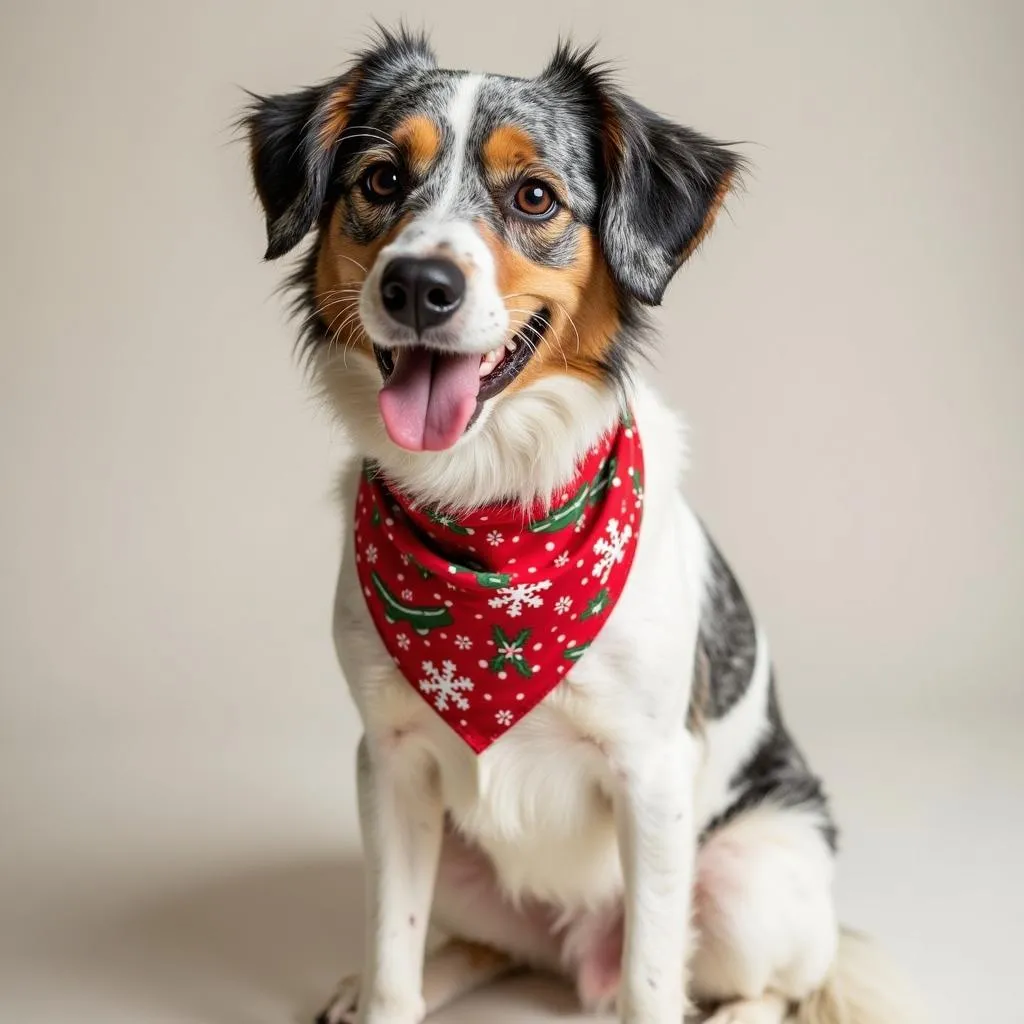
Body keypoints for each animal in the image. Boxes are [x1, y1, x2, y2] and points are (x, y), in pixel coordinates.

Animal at [243, 25, 917, 1024]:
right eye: (380, 180)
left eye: (535, 196)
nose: (417, 285)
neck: (492, 511)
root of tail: (574, 954)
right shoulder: (390, 762)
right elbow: (394, 947)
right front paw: (380, 993)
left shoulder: (652, 775)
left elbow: (652, 982)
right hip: (456, 857)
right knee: (481, 943)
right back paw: (373, 988)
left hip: (749, 881)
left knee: (767, 989)